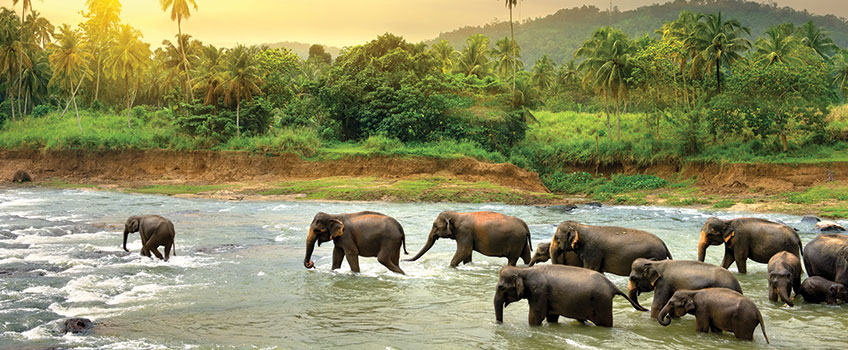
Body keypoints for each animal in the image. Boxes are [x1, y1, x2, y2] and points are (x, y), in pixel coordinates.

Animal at [494, 264, 644, 326]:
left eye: (501, 287)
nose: (499, 324)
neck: (523, 270)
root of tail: (612, 286)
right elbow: (551, 317)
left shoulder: (539, 293)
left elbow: (536, 317)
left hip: (602, 303)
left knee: (604, 324)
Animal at [548, 221, 676, 276]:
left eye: (557, 238)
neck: (580, 226)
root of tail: (664, 244)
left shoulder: (592, 253)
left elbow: (590, 269)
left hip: (656, 256)